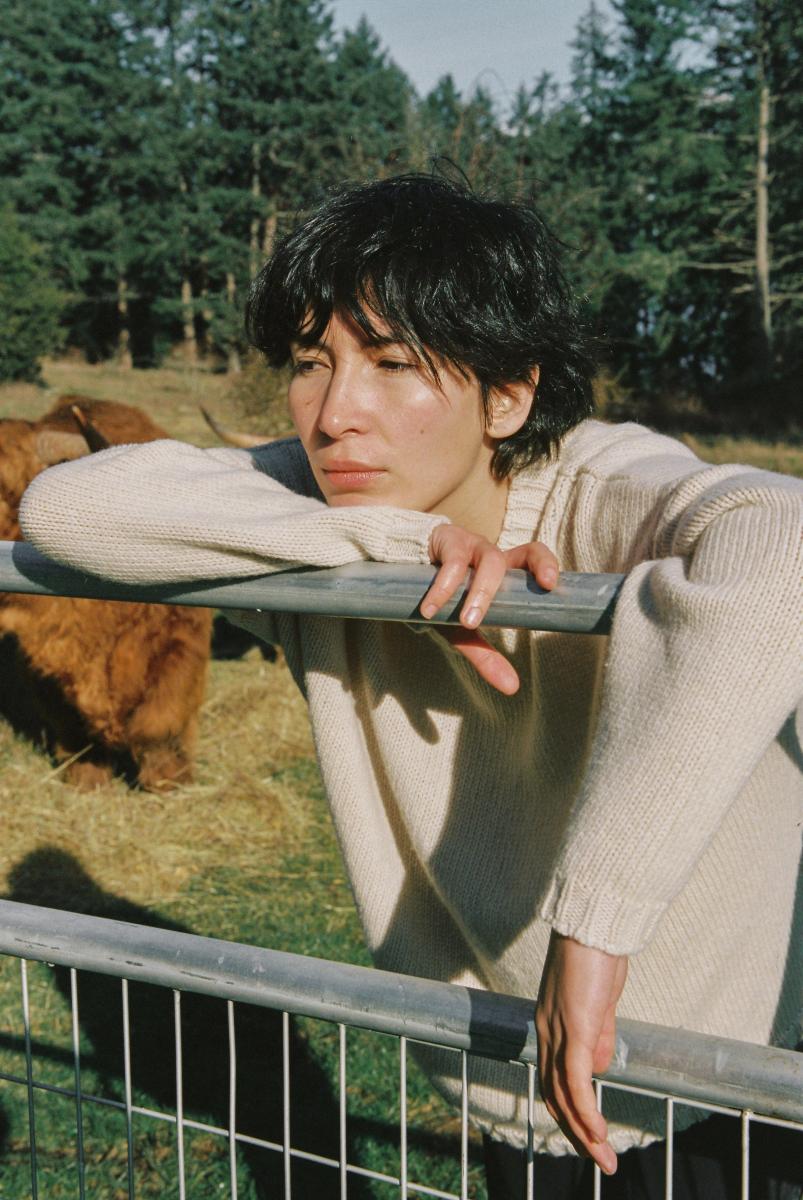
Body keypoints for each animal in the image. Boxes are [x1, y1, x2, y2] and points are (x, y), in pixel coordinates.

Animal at [0, 396, 213, 791]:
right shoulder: (42, 666)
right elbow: (74, 731)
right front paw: (87, 778)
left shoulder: (179, 647)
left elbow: (159, 722)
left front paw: (170, 778)